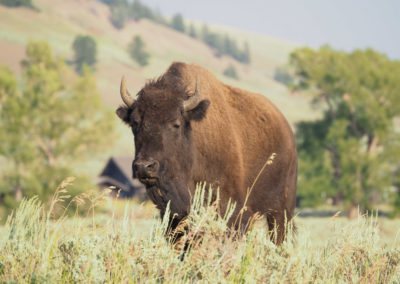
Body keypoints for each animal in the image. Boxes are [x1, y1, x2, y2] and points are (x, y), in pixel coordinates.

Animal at [115, 62, 296, 244]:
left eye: (176, 124)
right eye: (134, 123)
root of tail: (287, 130)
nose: (144, 167)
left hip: (281, 210)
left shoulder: (231, 209)